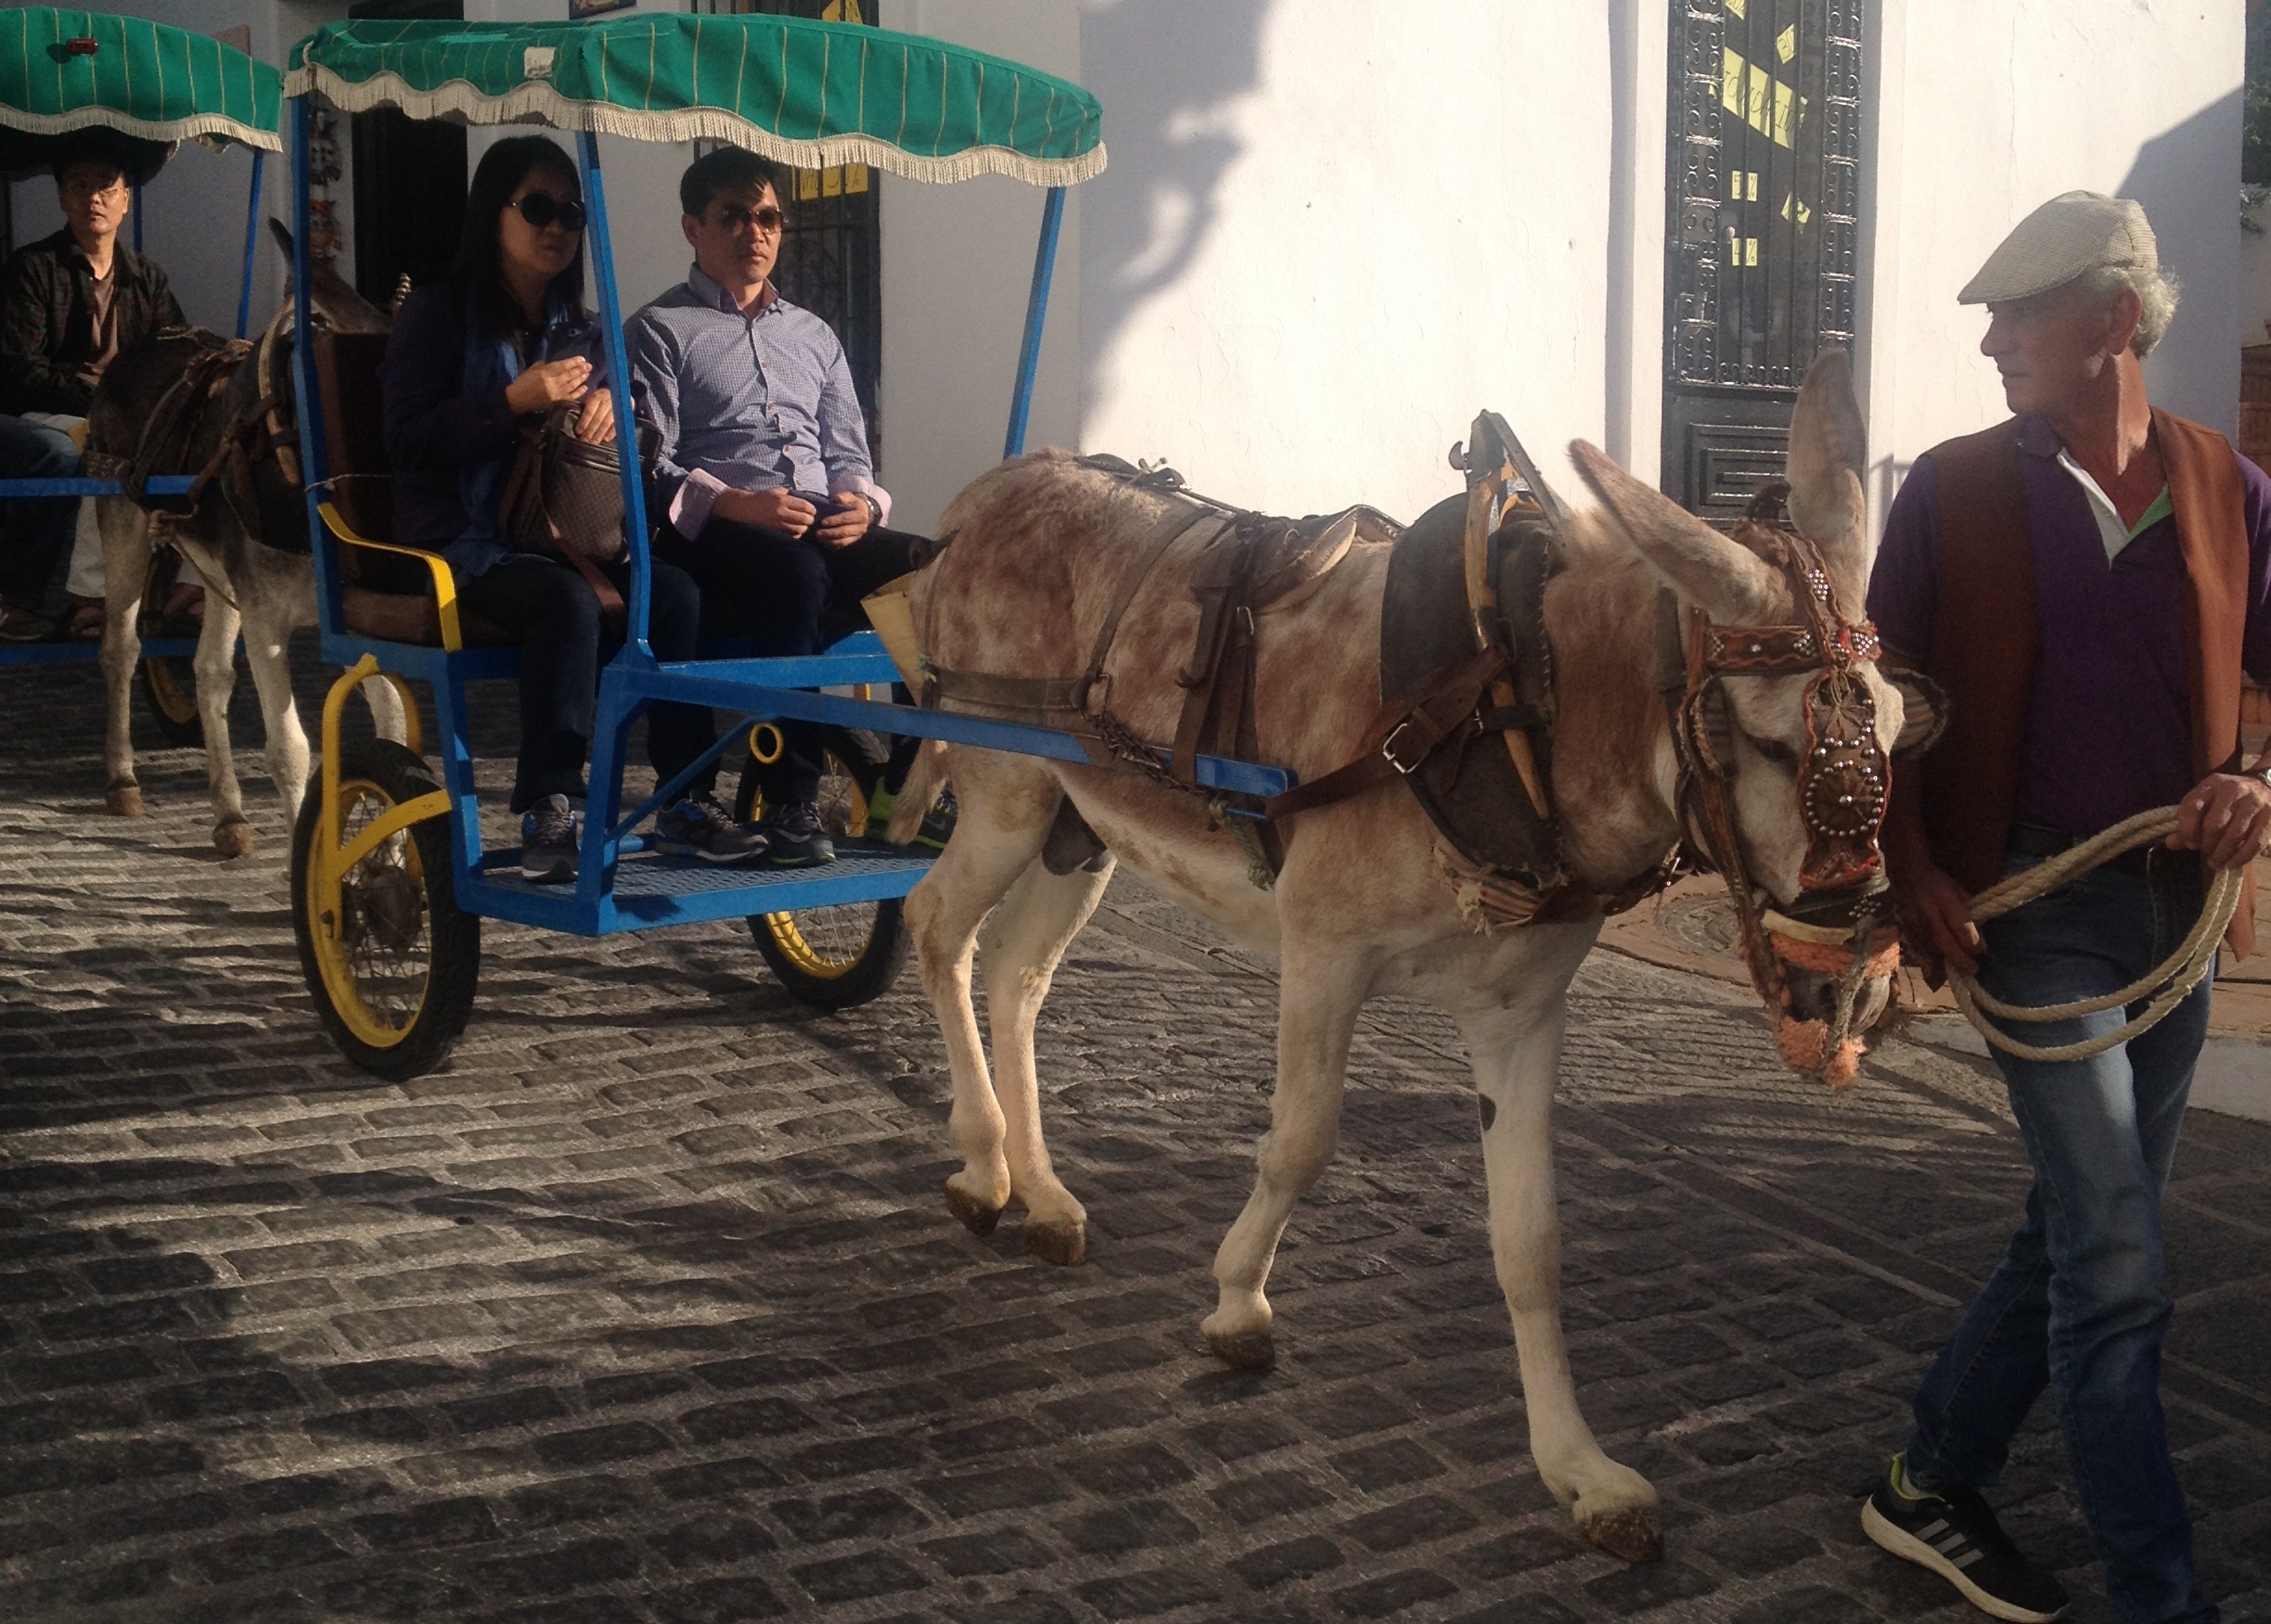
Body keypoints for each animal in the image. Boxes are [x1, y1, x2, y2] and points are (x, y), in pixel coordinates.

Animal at [84, 222, 397, 856]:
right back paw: (123, 779)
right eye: (313, 331)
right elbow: (290, 749)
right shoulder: (264, 616)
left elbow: (393, 722)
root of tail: (136, 347)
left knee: (210, 672)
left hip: (216, 573)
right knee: (122, 649)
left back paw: (229, 815)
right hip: (124, 530)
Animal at [887, 350, 1939, 1563]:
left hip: (1080, 826)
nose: (1860, 986)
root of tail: (1002, 483)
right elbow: (1298, 1144)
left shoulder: (1522, 1010)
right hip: (1005, 787)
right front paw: (1237, 1304)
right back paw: (982, 1165)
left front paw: (1579, 1469)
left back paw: (1048, 1195)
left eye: (1900, 726)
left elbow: (1531, 1239)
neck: (1516, 705)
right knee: (936, 925)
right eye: (1770, 744)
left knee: (1017, 971)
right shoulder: (1322, 953)